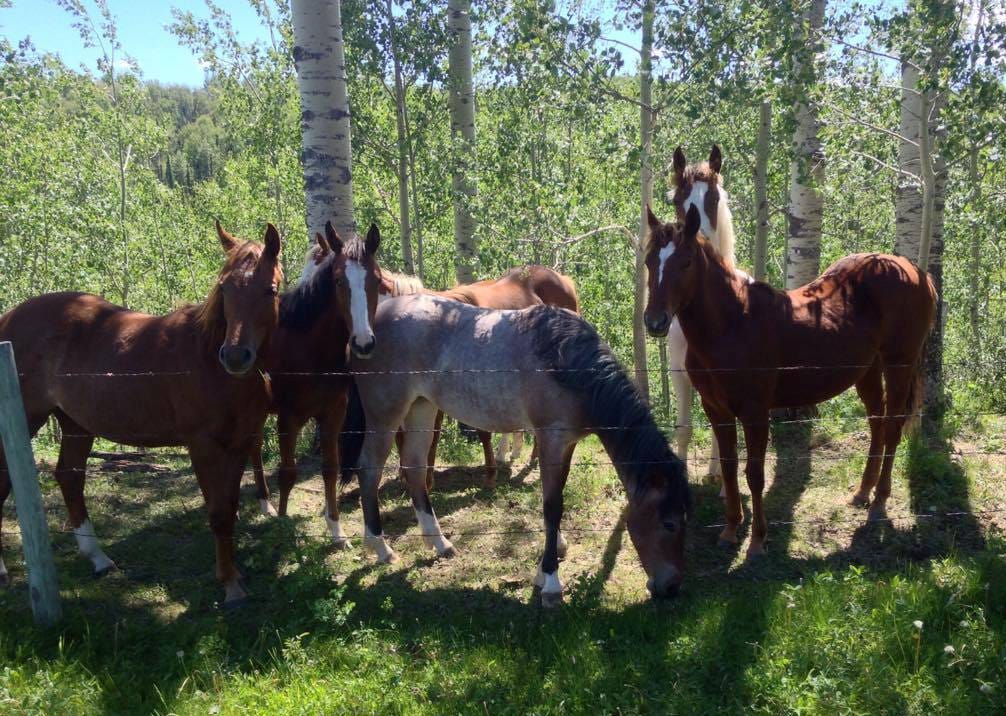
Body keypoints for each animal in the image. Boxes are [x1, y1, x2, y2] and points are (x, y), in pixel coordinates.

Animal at [0, 223, 283, 603]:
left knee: (69, 477)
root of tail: (10, 318)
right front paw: (230, 584)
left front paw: (234, 574)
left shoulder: (238, 444)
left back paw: (98, 559)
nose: (236, 356)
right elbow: (219, 513)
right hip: (28, 419)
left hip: (75, 424)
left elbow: (231, 506)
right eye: (224, 287)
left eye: (270, 290)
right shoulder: (203, 447)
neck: (208, 361)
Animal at [246, 221, 380, 547]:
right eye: (338, 281)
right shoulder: (289, 417)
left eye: (377, 280)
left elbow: (330, 469)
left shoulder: (333, 414)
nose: (363, 343)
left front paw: (336, 530)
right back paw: (265, 503)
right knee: (254, 446)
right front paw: (283, 524)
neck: (311, 348)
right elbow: (287, 472)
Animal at [643, 205, 933, 559]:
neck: (732, 324)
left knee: (892, 426)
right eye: (650, 260)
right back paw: (863, 492)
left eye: (685, 262)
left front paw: (757, 541)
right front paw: (730, 529)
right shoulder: (717, 410)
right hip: (867, 370)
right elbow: (728, 467)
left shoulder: (755, 413)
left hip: (899, 364)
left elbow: (754, 474)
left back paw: (879, 501)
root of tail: (917, 273)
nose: (655, 321)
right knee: (877, 423)